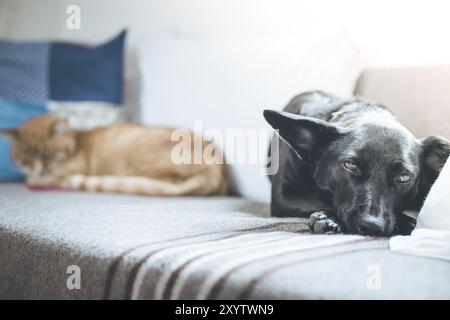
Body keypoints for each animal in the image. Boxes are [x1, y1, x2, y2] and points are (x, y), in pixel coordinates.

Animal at [1, 114, 229, 196]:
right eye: (26, 158)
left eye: (48, 154)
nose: (39, 169)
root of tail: (217, 170)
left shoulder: (71, 169)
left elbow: (46, 178)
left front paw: (38, 179)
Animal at [264, 91, 450, 236]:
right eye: (350, 165)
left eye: (404, 177)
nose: (372, 226)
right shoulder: (283, 198)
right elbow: (323, 200)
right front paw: (330, 218)